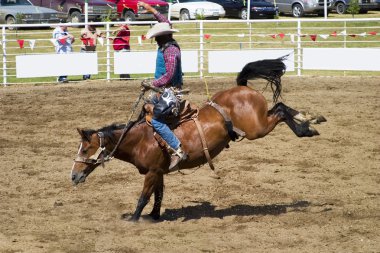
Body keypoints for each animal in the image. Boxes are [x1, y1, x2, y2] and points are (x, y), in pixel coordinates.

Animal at [70, 57, 320, 221]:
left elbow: (143, 197)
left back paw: (308, 125)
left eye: (85, 149)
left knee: (280, 110)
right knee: (279, 107)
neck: (140, 139)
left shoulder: (151, 172)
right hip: (258, 122)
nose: (73, 176)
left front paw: (133, 220)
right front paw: (154, 217)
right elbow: (158, 196)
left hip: (256, 129)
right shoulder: (159, 172)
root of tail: (241, 88)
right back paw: (312, 119)